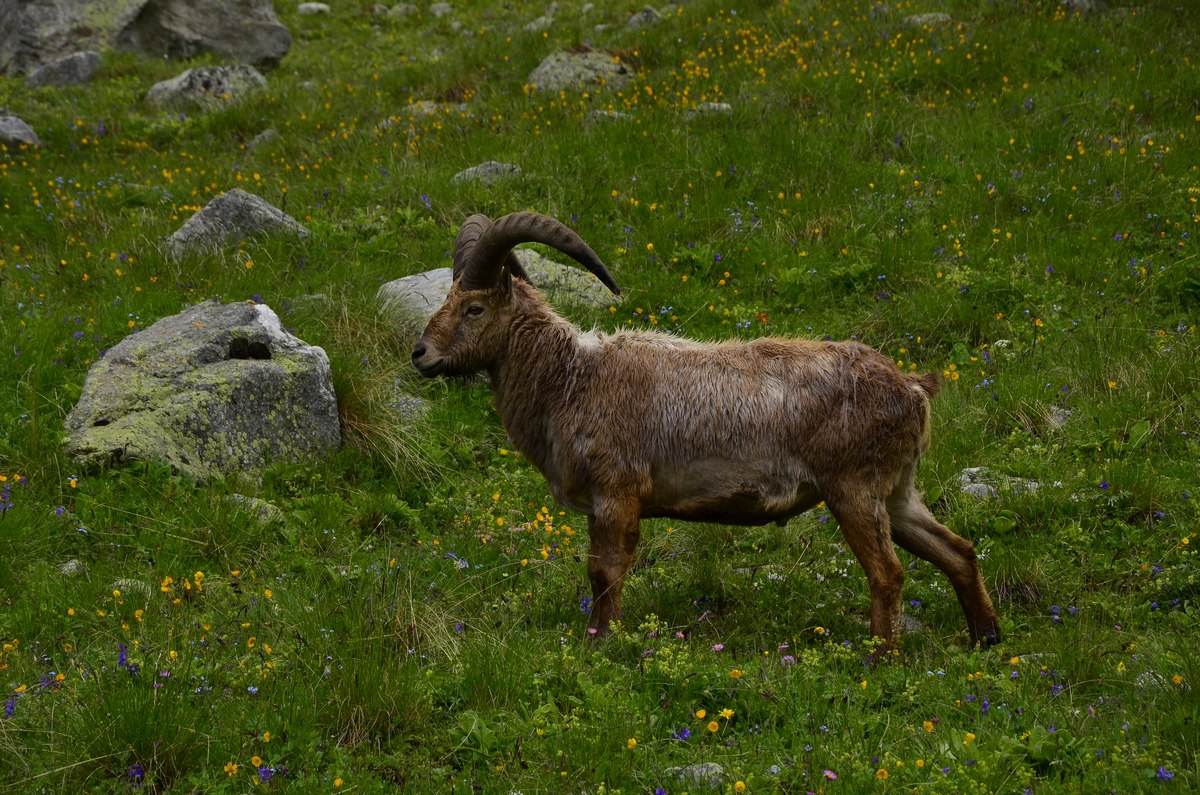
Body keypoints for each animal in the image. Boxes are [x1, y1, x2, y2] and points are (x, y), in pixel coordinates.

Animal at [415, 211, 1003, 653]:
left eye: (474, 307)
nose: (421, 354)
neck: (572, 380)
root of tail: (914, 389)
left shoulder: (617, 492)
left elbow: (605, 574)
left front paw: (602, 644)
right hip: (897, 490)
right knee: (958, 549)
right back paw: (986, 638)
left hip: (853, 489)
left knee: (888, 573)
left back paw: (881, 658)